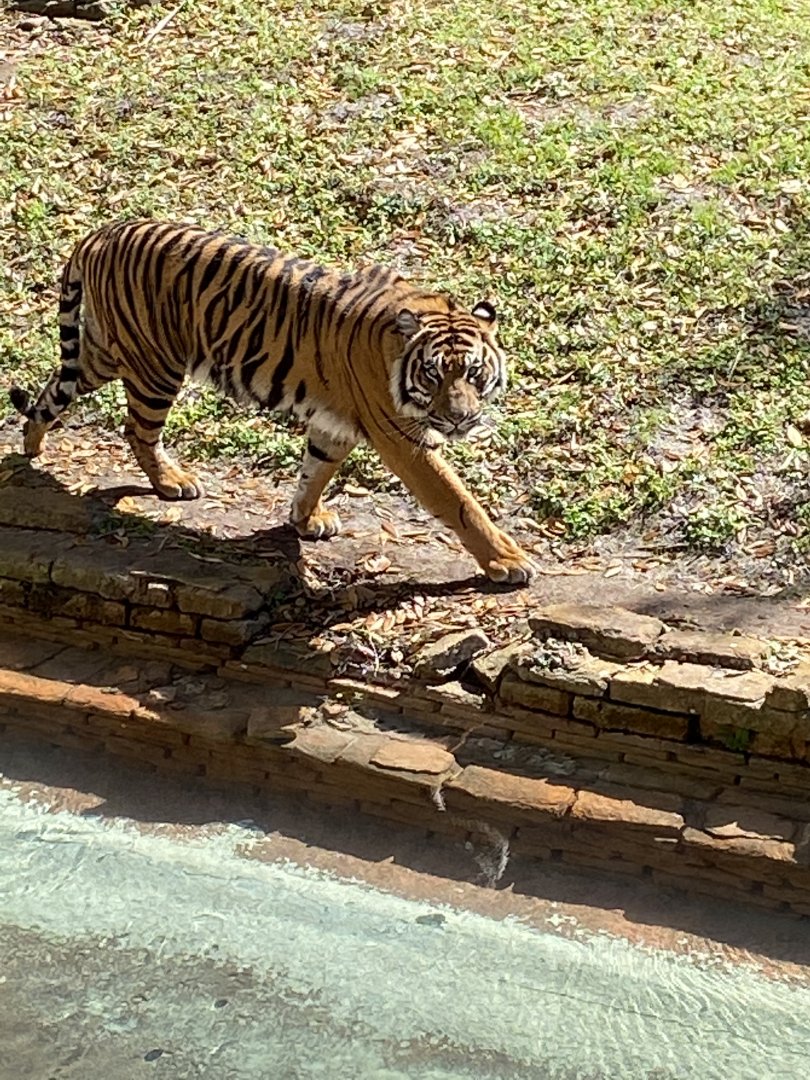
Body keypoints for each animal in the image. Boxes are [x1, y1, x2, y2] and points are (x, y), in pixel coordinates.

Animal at [9, 219, 535, 585]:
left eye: (473, 373)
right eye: (433, 374)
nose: (460, 419)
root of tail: (102, 232)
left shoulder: (335, 424)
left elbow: (315, 471)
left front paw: (305, 519)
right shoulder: (402, 439)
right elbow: (457, 501)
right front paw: (508, 561)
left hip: (107, 354)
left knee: (55, 387)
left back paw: (31, 445)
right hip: (154, 366)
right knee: (137, 430)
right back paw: (172, 482)